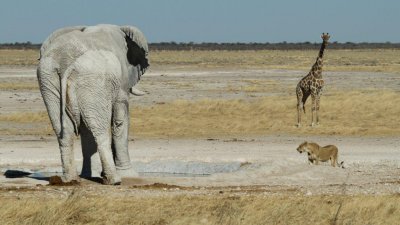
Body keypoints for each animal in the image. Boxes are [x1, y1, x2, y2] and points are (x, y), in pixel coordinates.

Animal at [37, 23, 148, 185]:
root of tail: (65, 62)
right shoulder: (121, 82)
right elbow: (120, 119)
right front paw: (130, 175)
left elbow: (86, 128)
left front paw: (91, 176)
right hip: (92, 80)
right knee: (100, 130)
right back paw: (114, 180)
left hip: (49, 80)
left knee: (64, 130)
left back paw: (70, 179)